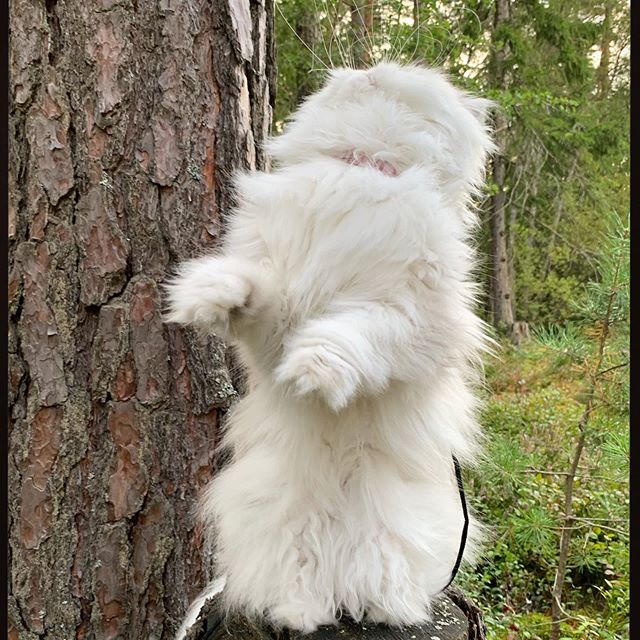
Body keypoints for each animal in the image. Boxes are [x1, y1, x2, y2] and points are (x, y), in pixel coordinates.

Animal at [168, 61, 498, 636]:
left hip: (393, 530)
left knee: (377, 574)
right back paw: (300, 612)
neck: (357, 171)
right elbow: (257, 293)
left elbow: (355, 330)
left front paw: (313, 370)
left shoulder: (408, 317)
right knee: (301, 571)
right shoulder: (276, 312)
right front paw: (207, 294)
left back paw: (383, 606)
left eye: (407, 78)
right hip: (278, 522)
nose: (369, 70)